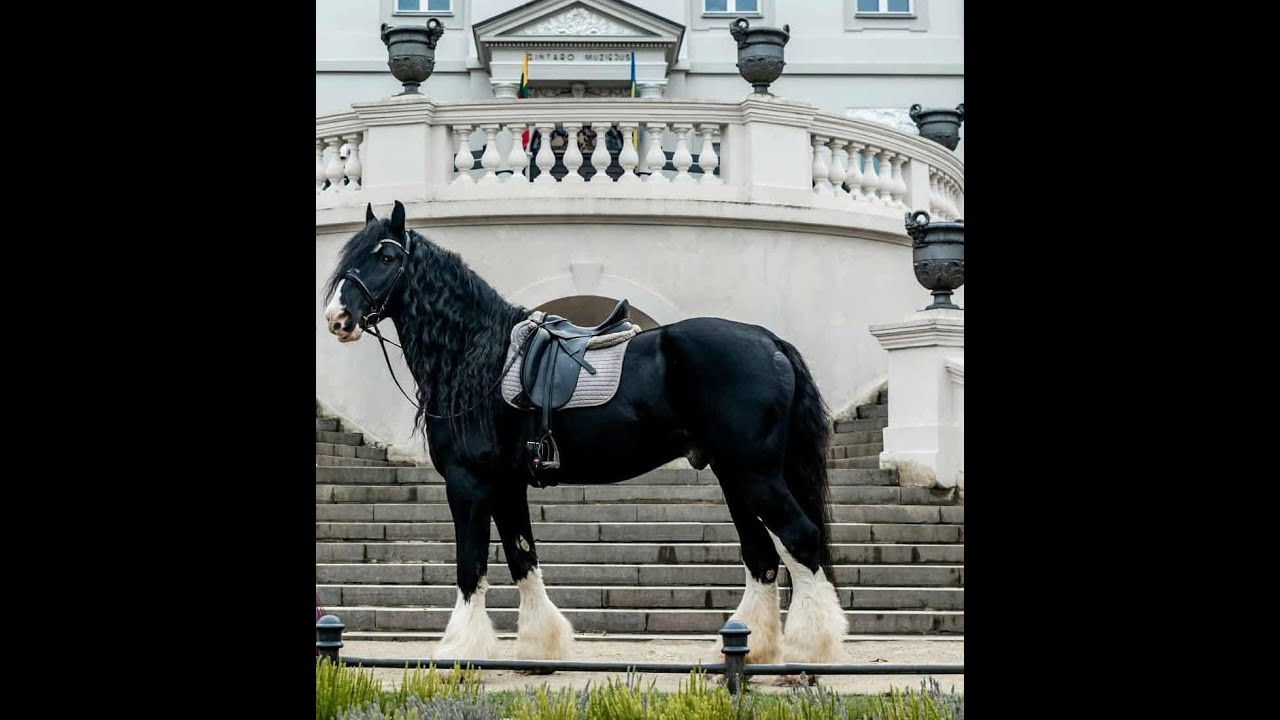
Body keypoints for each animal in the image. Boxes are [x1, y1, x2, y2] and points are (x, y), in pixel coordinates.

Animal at [321, 200, 848, 664]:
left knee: (800, 539)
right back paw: (753, 648)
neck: (476, 357)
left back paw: (812, 648)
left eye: (387, 256)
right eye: (351, 255)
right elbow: (523, 558)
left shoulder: (469, 484)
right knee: (762, 557)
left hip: (754, 474)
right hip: (734, 475)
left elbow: (471, 566)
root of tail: (770, 340)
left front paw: (460, 648)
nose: (337, 319)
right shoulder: (507, 485)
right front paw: (540, 648)